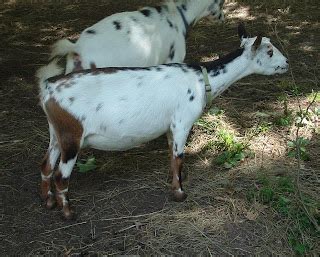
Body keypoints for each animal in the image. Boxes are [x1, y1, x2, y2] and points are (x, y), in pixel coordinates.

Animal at [38, 23, 290, 218]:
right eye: (269, 51)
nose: (287, 62)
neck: (201, 80)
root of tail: (48, 89)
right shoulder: (182, 122)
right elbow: (178, 157)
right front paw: (179, 193)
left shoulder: (171, 126)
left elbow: (171, 154)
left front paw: (175, 179)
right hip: (72, 136)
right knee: (60, 175)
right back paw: (67, 212)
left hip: (56, 134)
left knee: (46, 165)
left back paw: (48, 202)